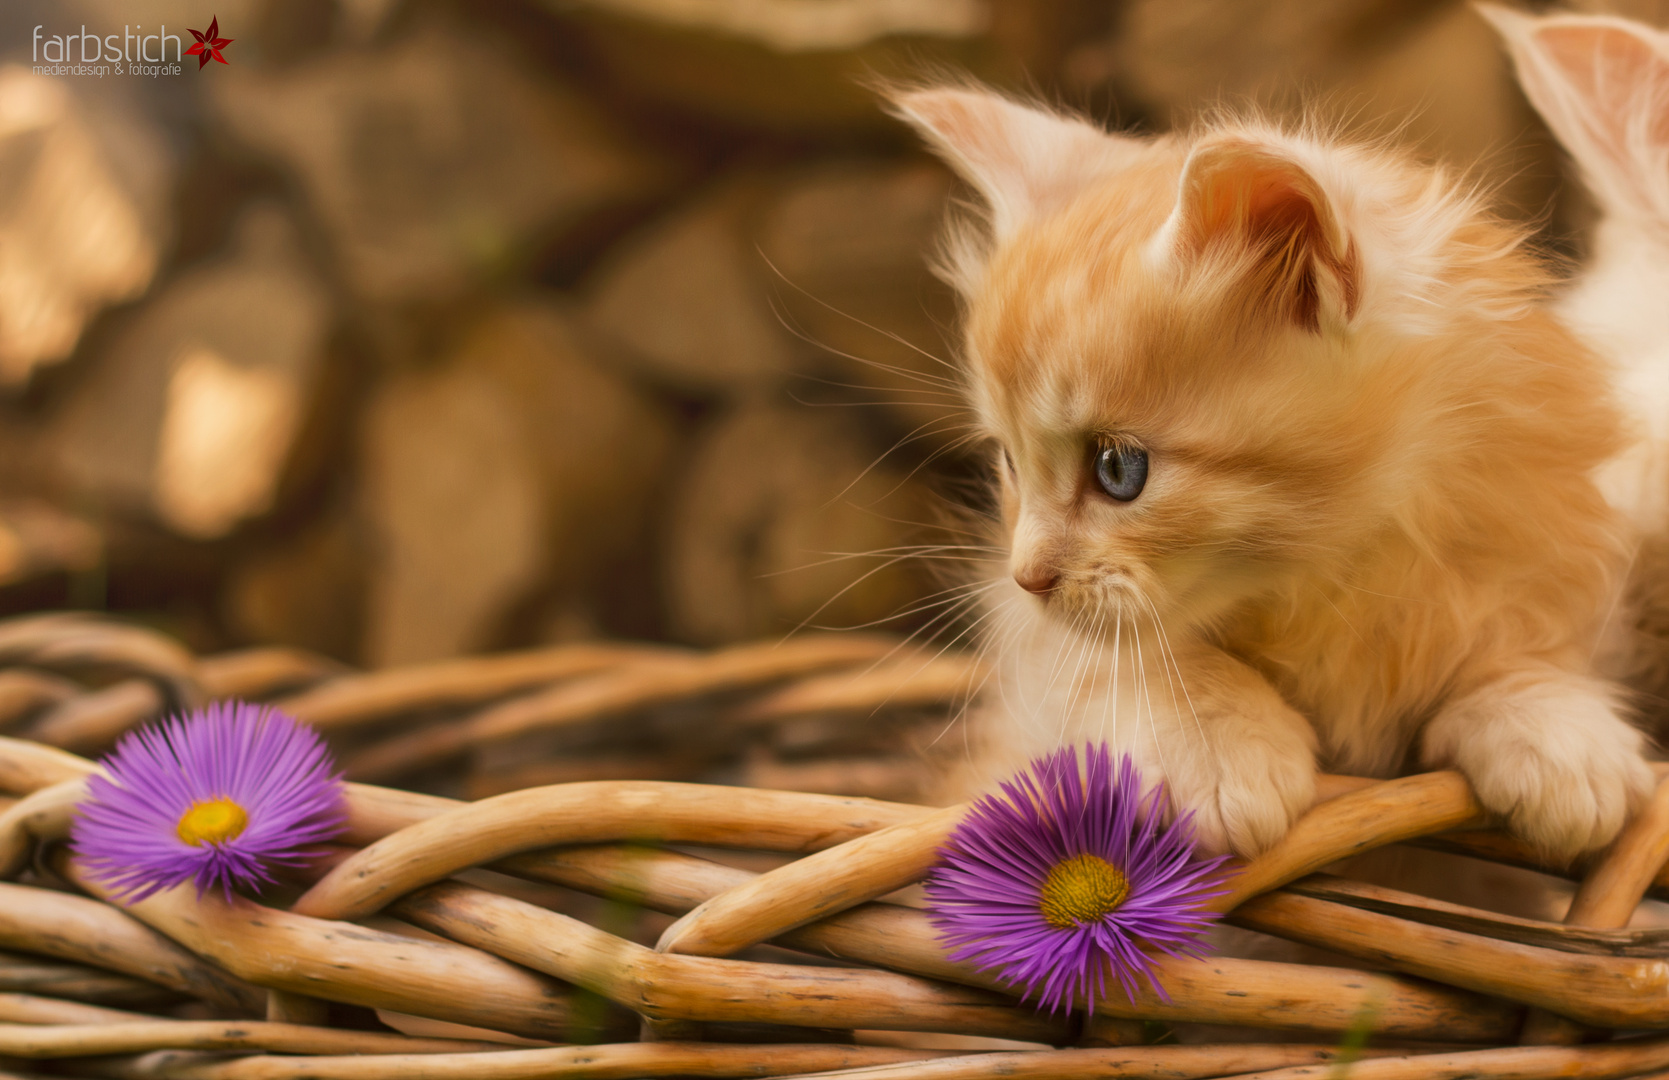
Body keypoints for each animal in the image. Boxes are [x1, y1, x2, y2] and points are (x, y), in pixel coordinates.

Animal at [894, 86, 1648, 861]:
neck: (1334, 580)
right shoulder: (1035, 645)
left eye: (1117, 469)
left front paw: (1557, 729)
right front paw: (1220, 744)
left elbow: (1520, 646)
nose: (1029, 577)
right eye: (1010, 462)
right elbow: (1135, 655)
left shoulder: (1532, 539)